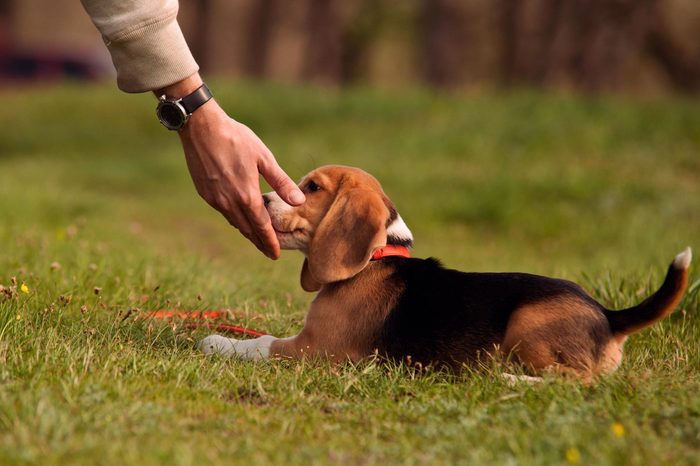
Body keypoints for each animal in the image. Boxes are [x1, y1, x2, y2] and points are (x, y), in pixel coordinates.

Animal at [200, 166, 692, 380]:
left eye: (312, 188)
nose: (263, 199)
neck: (376, 258)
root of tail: (610, 315)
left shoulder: (313, 350)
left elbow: (261, 343)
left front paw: (218, 341)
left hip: (527, 325)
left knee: (579, 383)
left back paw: (506, 379)